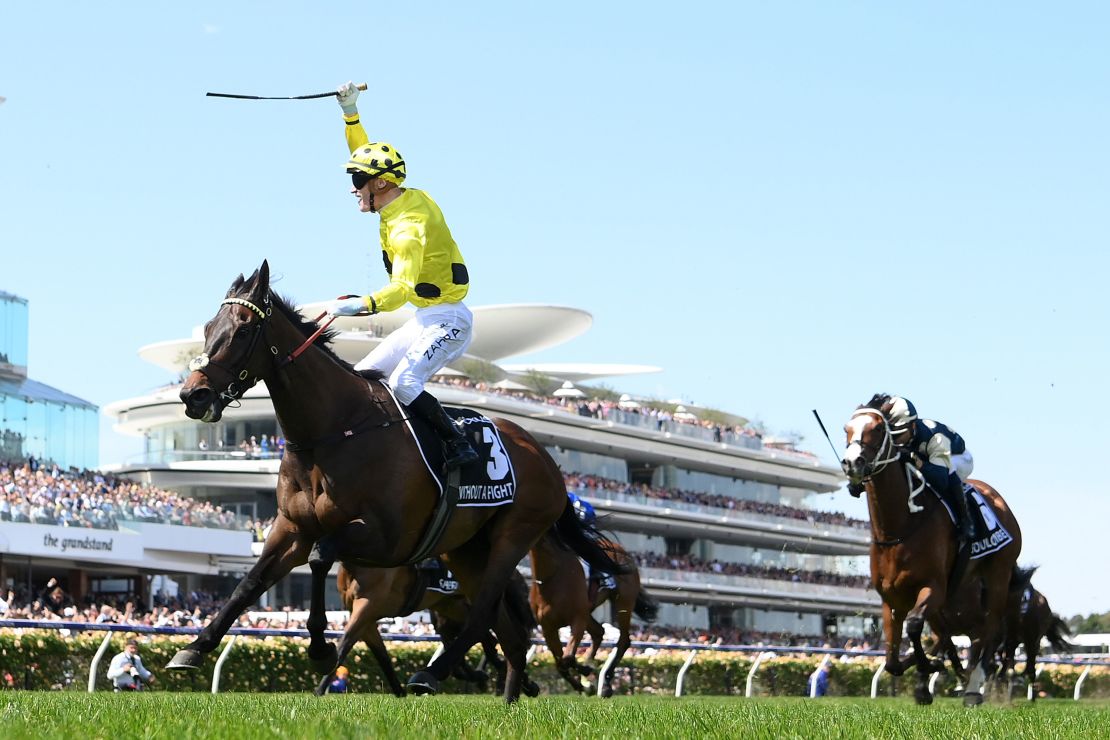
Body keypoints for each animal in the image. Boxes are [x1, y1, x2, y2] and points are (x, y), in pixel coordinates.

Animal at [170, 262, 626, 705]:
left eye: (244, 330)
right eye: (209, 328)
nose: (194, 395)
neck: (336, 430)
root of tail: (545, 457)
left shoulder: (388, 539)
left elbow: (321, 557)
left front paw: (319, 647)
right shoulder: (292, 528)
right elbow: (249, 583)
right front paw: (193, 648)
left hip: (513, 535)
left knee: (483, 615)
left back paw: (433, 673)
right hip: (467, 549)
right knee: (509, 636)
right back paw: (508, 698)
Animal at [839, 392, 1021, 705]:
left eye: (878, 428)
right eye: (846, 430)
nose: (852, 463)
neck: (899, 528)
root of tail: (998, 500)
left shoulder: (932, 587)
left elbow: (914, 627)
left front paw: (931, 666)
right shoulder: (891, 598)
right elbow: (892, 659)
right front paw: (928, 670)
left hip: (997, 575)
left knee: (988, 629)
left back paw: (972, 687)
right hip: (958, 590)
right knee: (953, 633)